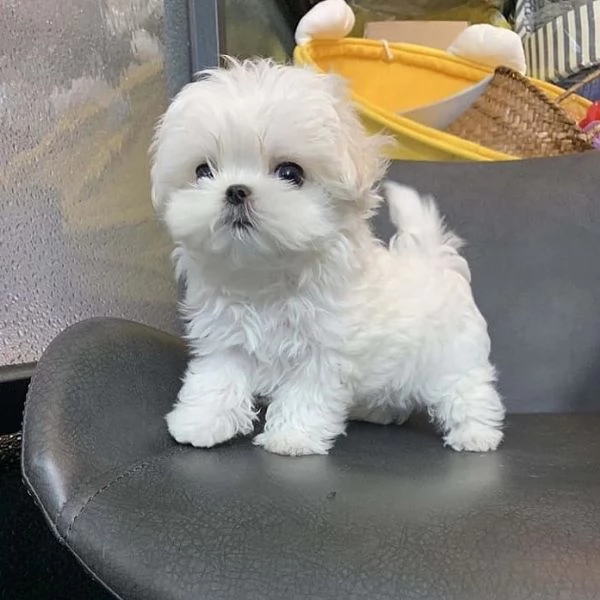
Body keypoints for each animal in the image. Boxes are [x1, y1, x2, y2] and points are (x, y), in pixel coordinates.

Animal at [149, 59, 502, 454]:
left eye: (290, 172)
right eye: (203, 171)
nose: (236, 190)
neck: (267, 278)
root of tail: (434, 258)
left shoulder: (323, 351)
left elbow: (306, 393)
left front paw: (293, 436)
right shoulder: (226, 339)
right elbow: (215, 380)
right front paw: (200, 423)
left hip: (455, 355)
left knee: (468, 390)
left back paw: (476, 433)